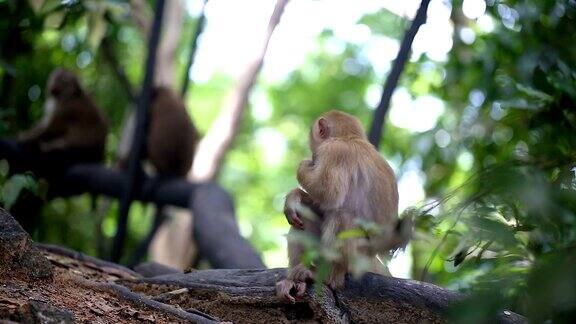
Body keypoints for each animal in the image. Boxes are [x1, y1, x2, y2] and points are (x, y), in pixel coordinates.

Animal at [276, 110, 412, 302]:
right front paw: (294, 197)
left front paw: (303, 166)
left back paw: (327, 276)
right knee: (306, 214)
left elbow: (329, 193)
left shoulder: (334, 151)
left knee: (343, 215)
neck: (350, 138)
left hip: (358, 262)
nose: (312, 154)